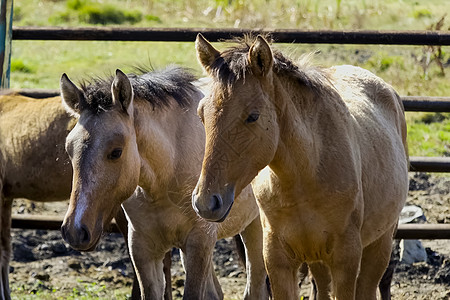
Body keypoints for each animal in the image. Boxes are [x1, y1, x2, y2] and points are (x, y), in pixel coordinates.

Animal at [192, 33, 410, 300]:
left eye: (252, 116)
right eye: (202, 114)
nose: (206, 202)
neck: (305, 176)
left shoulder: (346, 261)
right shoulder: (279, 262)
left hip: (380, 244)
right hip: (318, 261)